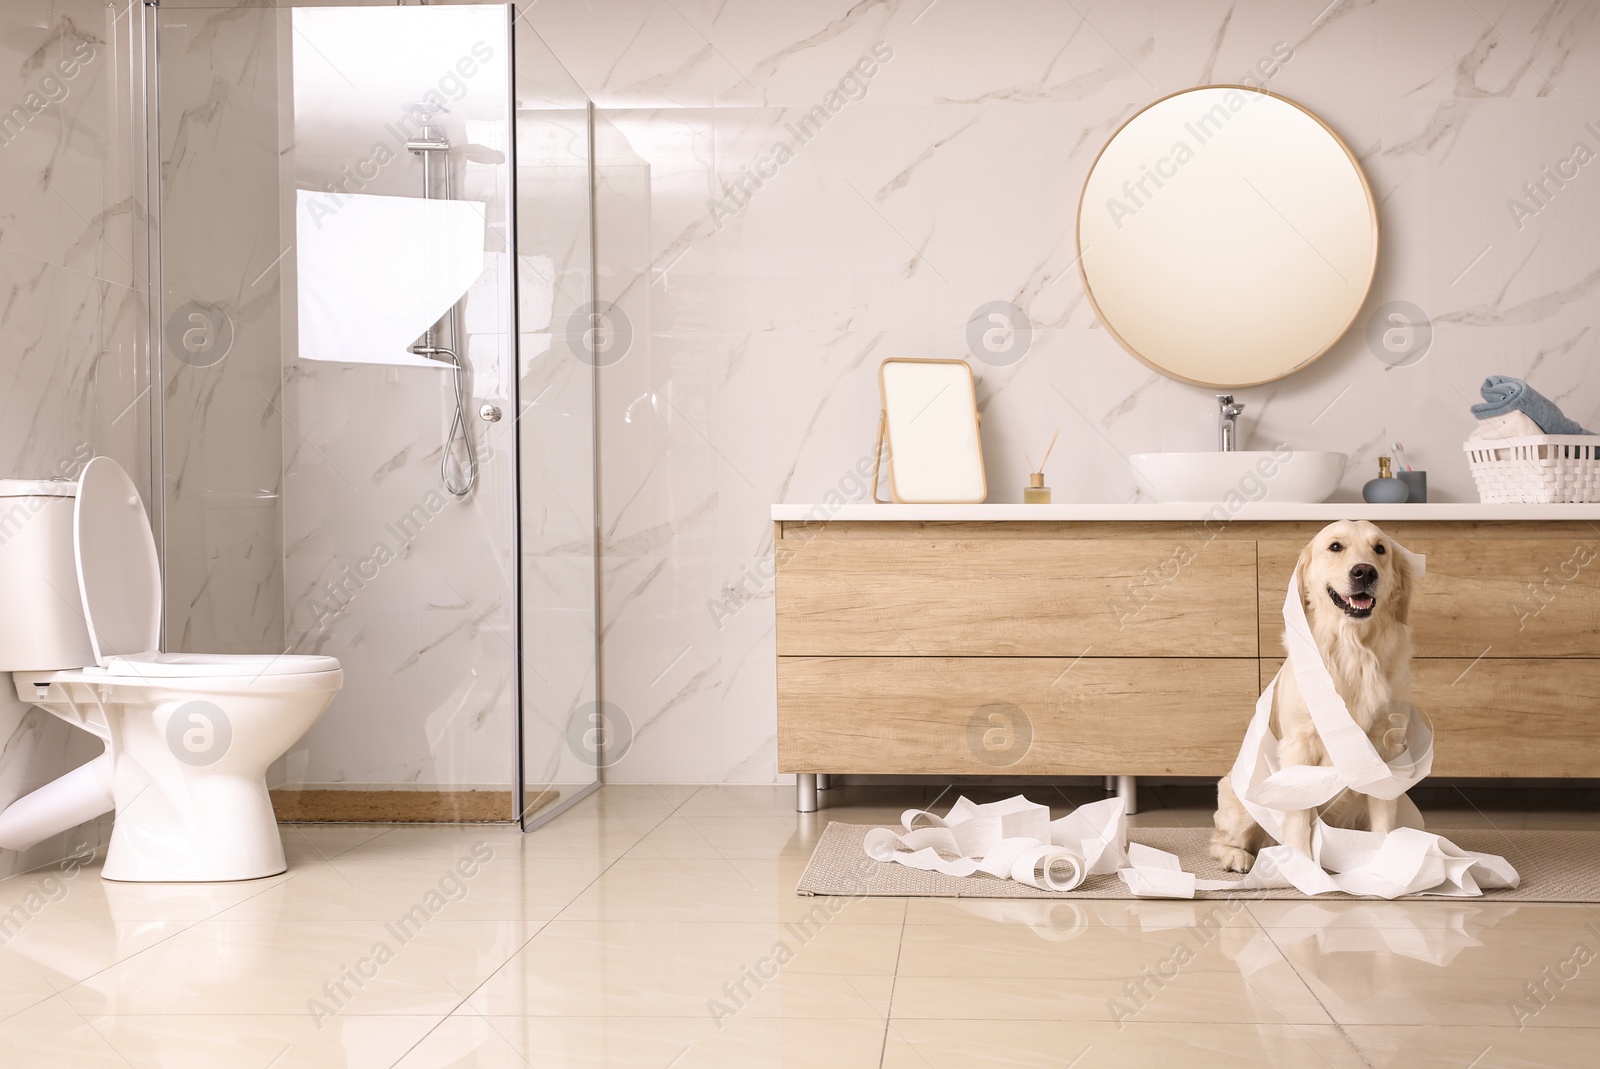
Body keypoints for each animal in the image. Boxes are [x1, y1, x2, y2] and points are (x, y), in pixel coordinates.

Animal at [1203, 521, 1420, 870]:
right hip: (1239, 803)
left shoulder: (1386, 748)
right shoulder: (1298, 747)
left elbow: (1384, 817)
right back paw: (1237, 857)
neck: (1354, 650)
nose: (1364, 571)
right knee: (1219, 840)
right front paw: (1301, 869)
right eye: (1335, 547)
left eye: (1380, 549)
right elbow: (1298, 821)